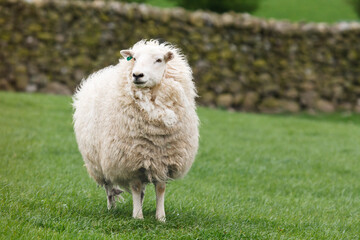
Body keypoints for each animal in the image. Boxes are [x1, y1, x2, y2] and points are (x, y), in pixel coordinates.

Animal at [71, 39, 198, 221]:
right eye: (135, 58)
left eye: (159, 60)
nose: (137, 75)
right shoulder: (129, 158)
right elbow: (136, 187)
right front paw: (138, 217)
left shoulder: (162, 160)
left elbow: (160, 188)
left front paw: (161, 218)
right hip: (99, 162)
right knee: (109, 187)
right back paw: (111, 208)